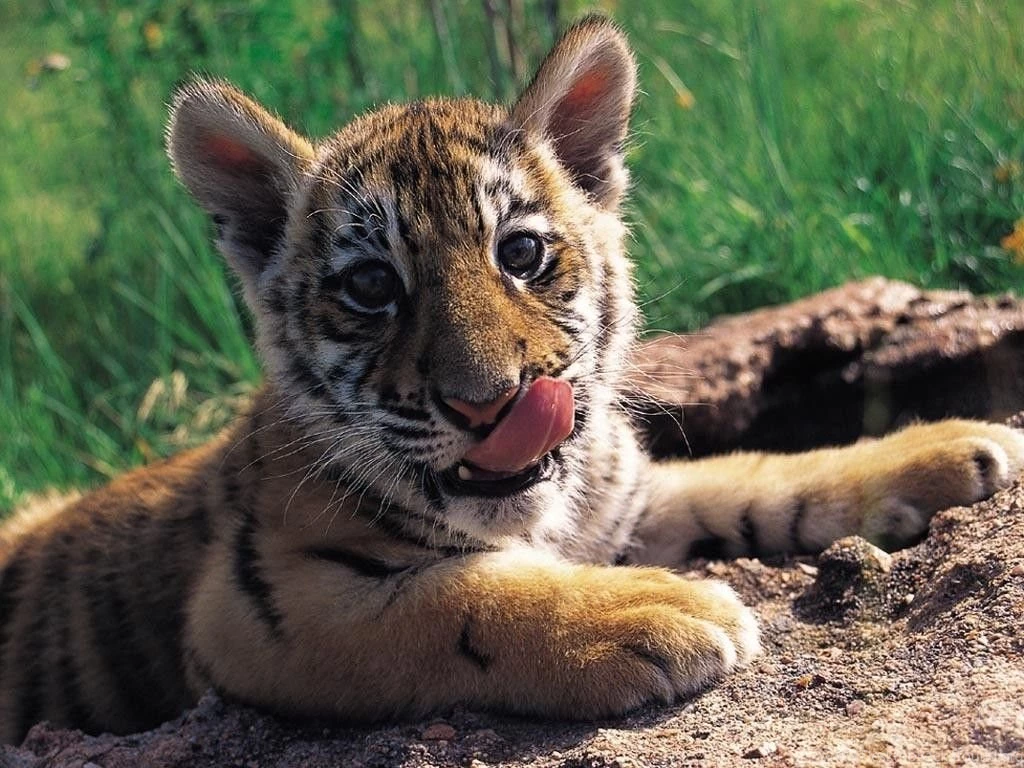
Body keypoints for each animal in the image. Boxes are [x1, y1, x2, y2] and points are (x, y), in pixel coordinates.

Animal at [1, 16, 1022, 746]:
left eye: (521, 253)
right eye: (371, 287)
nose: (489, 403)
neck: (549, 515)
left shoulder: (627, 496)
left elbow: (759, 474)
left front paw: (955, 447)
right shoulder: (262, 606)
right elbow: (457, 596)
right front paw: (662, 608)